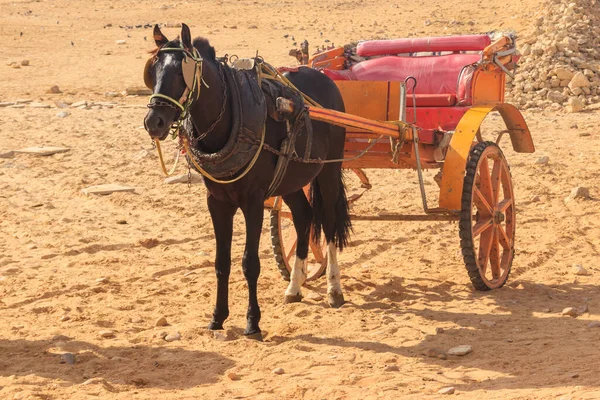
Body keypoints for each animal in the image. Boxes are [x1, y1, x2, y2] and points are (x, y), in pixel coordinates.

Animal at [144, 24, 352, 338]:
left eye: (182, 72)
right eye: (153, 70)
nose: (153, 121)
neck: (230, 118)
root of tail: (324, 78)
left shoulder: (253, 203)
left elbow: (250, 263)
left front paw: (253, 322)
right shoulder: (217, 203)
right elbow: (221, 262)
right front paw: (217, 317)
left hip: (328, 171)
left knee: (327, 222)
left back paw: (334, 288)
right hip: (290, 180)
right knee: (303, 216)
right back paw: (294, 286)